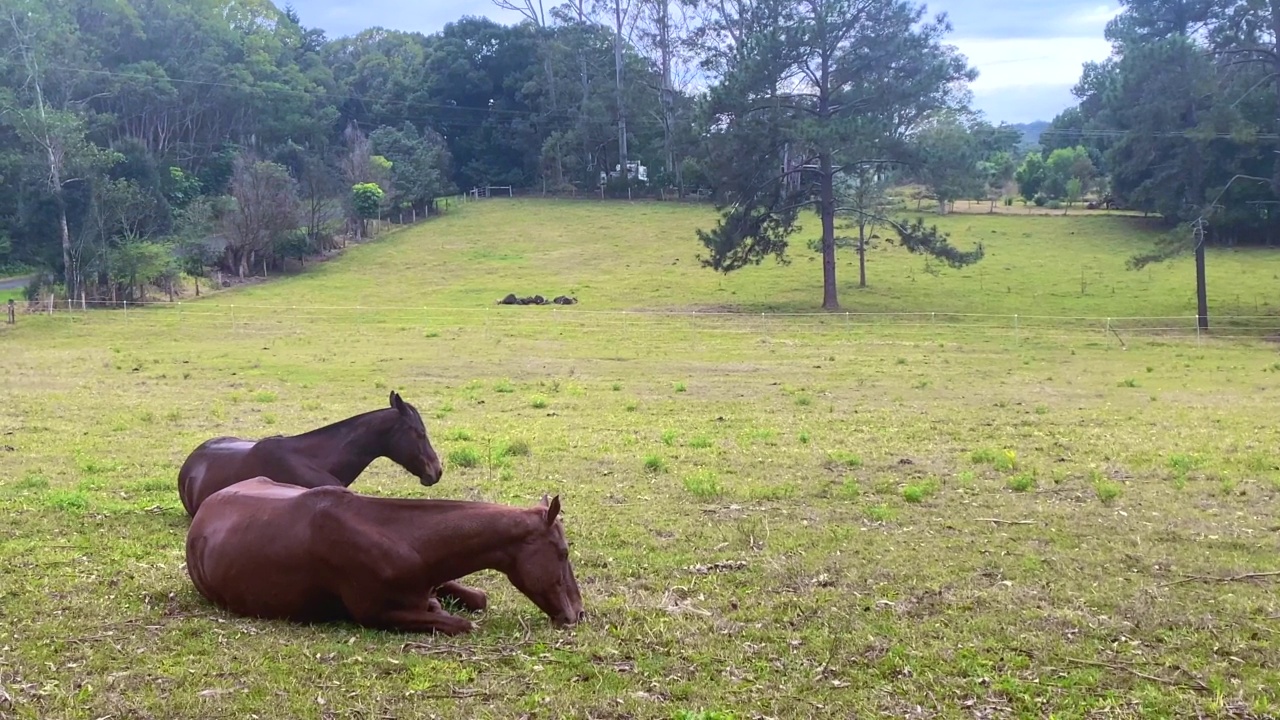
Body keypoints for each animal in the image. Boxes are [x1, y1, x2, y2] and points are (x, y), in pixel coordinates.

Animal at [185, 476, 586, 632]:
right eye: (563, 552)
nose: (579, 614)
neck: (402, 539)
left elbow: (476, 599)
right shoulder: (375, 613)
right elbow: (460, 622)